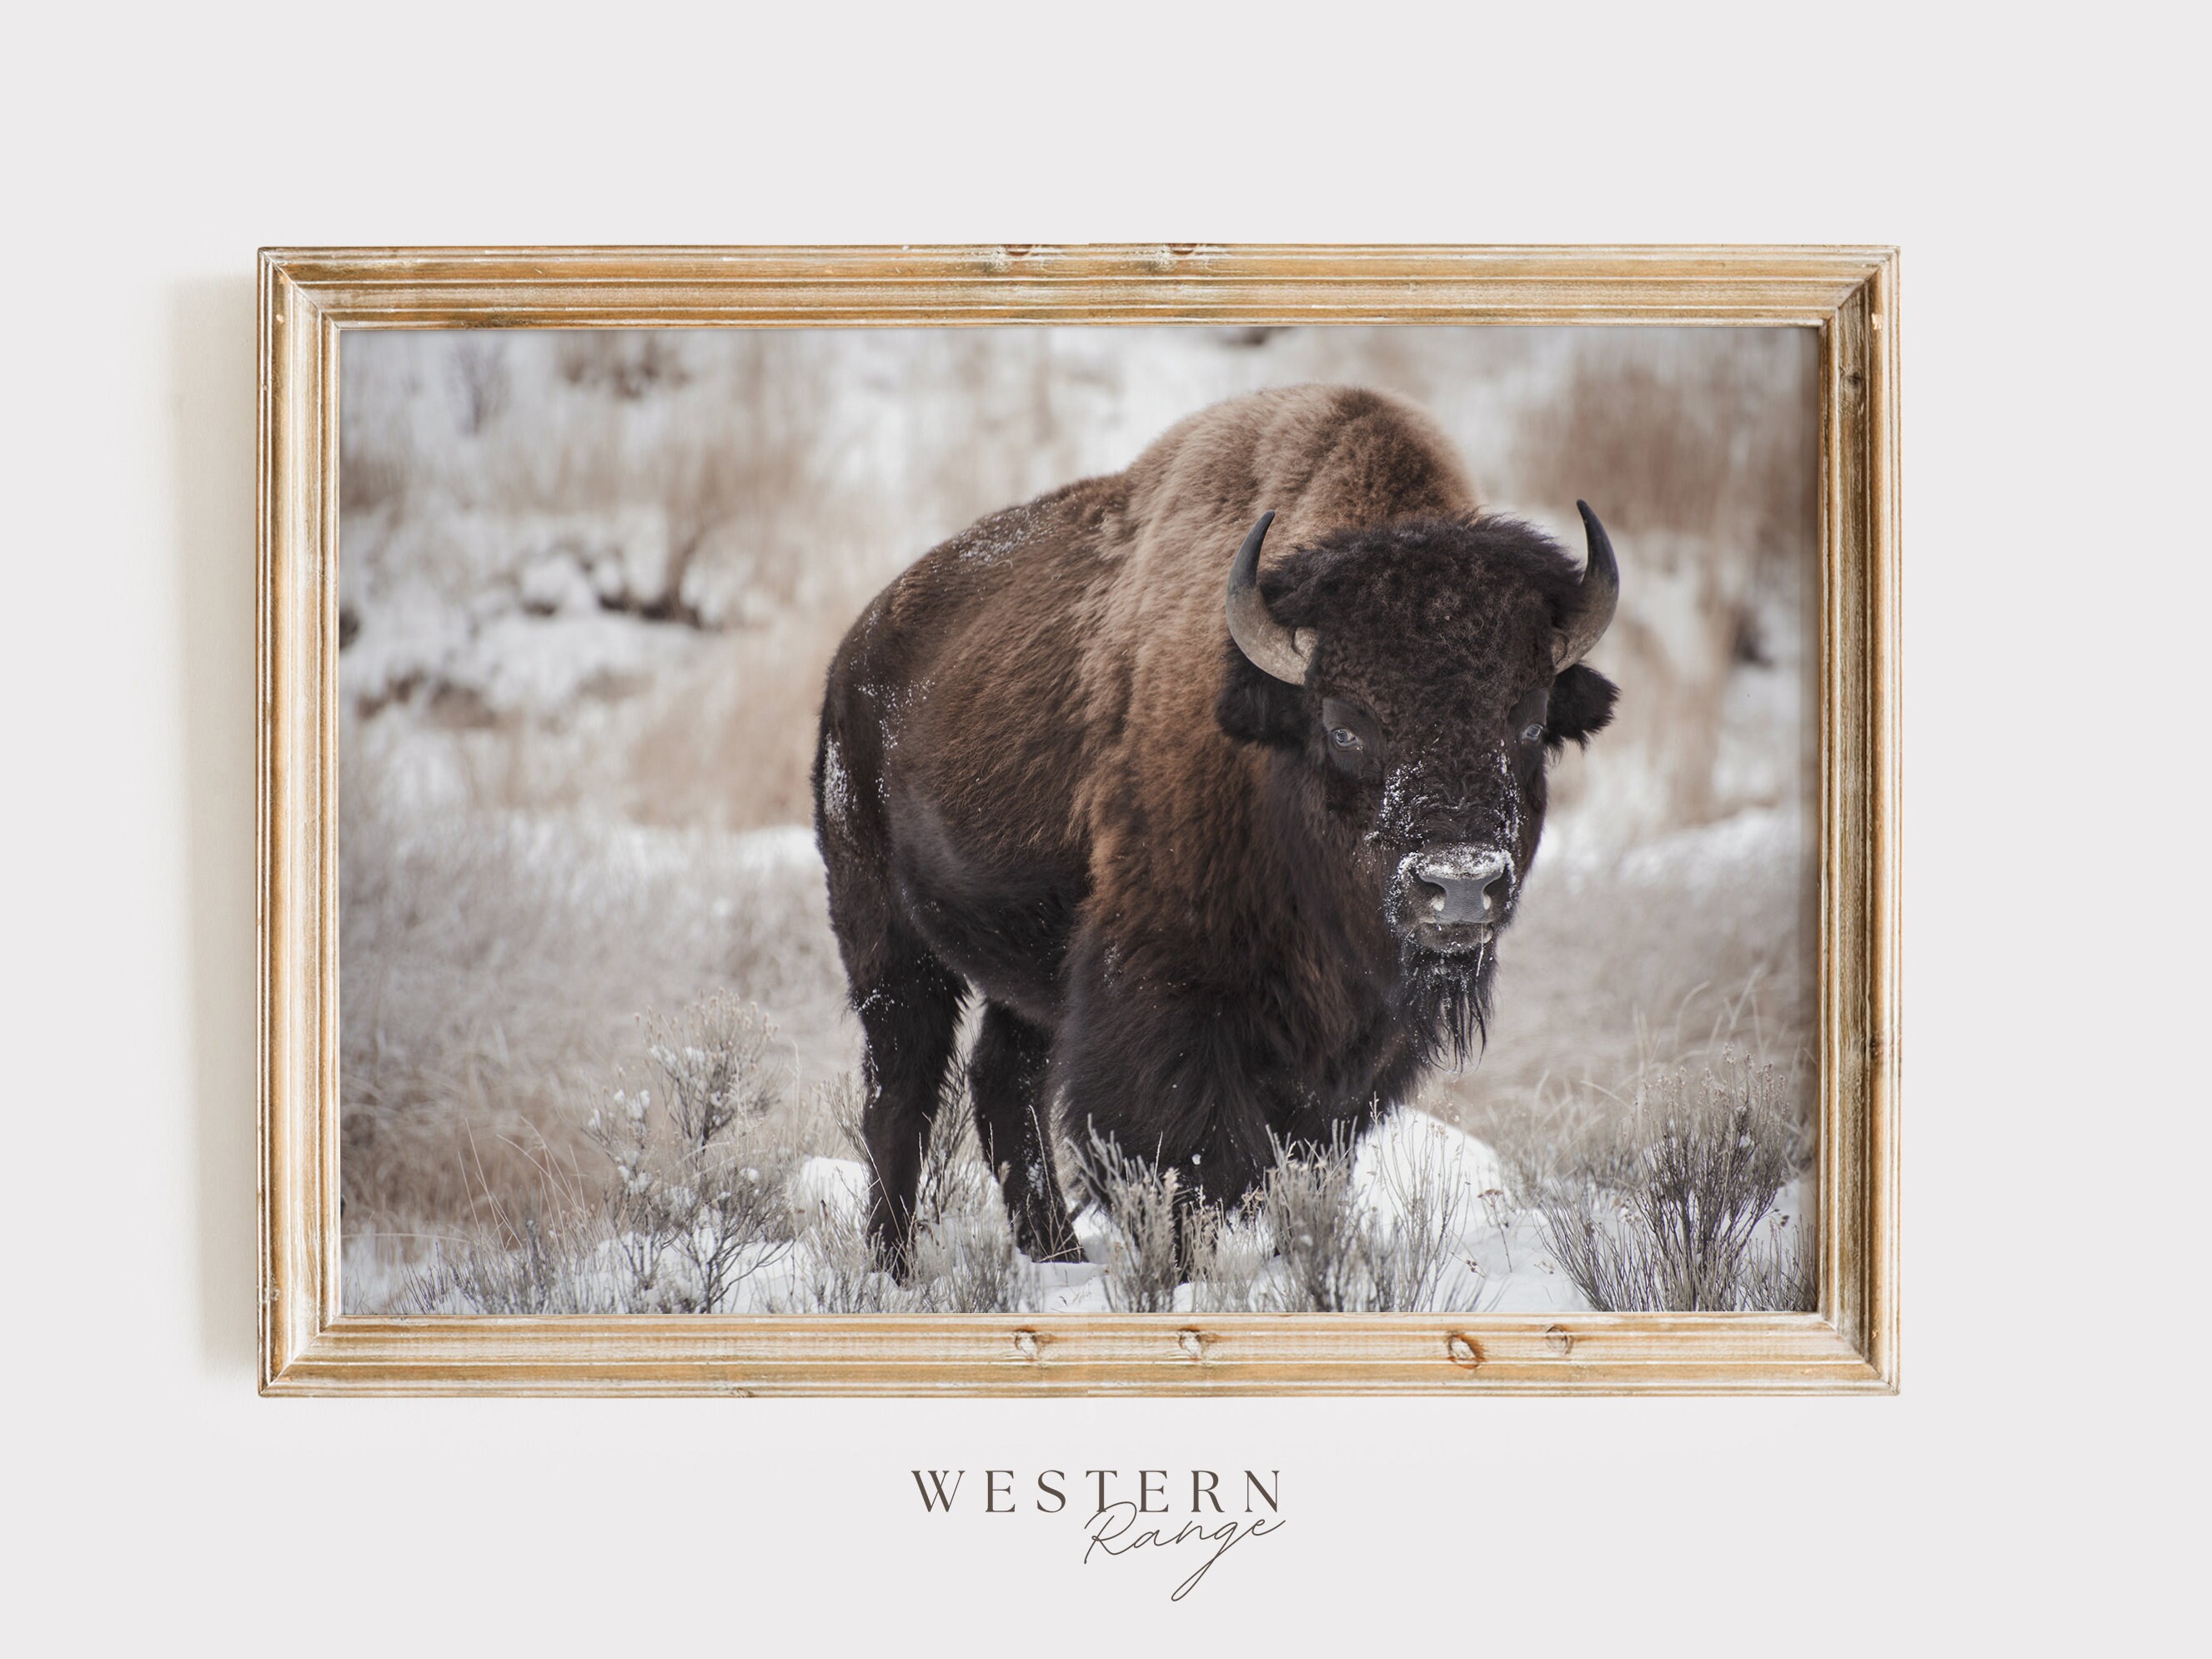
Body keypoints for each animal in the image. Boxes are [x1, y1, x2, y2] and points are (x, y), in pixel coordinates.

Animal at [814, 385, 1619, 1270]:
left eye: (1530, 719)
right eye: (1344, 724)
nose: (1461, 885)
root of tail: (856, 652)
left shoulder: (1357, 1047)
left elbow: (1308, 1156)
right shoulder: (1166, 997)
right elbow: (1192, 1160)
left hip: (1024, 973)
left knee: (1002, 1084)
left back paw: (1057, 1253)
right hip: (885, 940)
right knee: (903, 1090)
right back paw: (892, 1264)